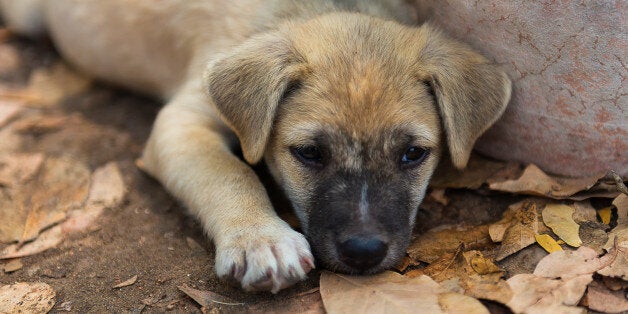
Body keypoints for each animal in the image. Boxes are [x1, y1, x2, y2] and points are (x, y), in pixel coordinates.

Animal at [0, 0, 510, 294]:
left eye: (413, 154)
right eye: (309, 153)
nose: (364, 251)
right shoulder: (182, 122)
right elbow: (233, 172)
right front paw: (261, 240)